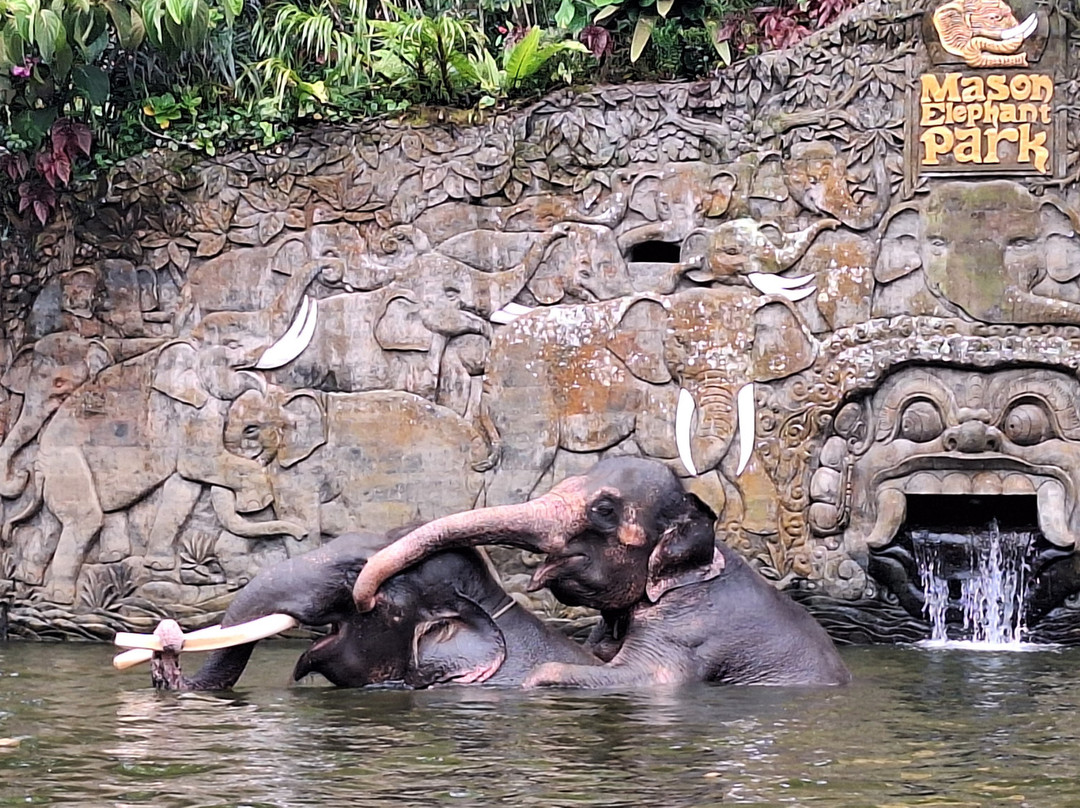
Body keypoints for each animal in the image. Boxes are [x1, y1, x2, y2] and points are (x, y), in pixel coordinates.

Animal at [478, 287, 817, 507]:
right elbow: (665, 442)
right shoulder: (655, 388)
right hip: (523, 383)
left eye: (749, 346)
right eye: (680, 343)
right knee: (533, 454)